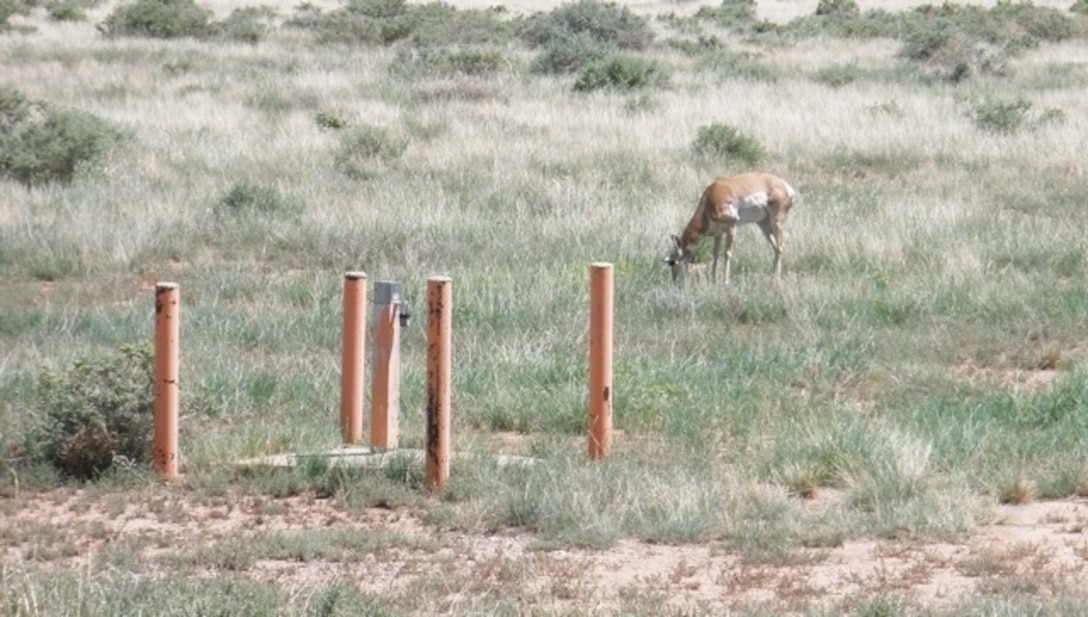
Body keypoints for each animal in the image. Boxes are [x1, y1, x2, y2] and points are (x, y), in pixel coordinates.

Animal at [661, 173, 800, 285]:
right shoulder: (718, 234)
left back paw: (776, 281)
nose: (675, 283)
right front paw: (713, 280)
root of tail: (787, 187)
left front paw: (725, 282)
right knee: (776, 248)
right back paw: (772, 279)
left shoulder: (732, 228)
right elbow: (716, 255)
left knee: (780, 247)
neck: (708, 202)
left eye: (672, 262)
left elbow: (727, 254)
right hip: (763, 224)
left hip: (776, 222)